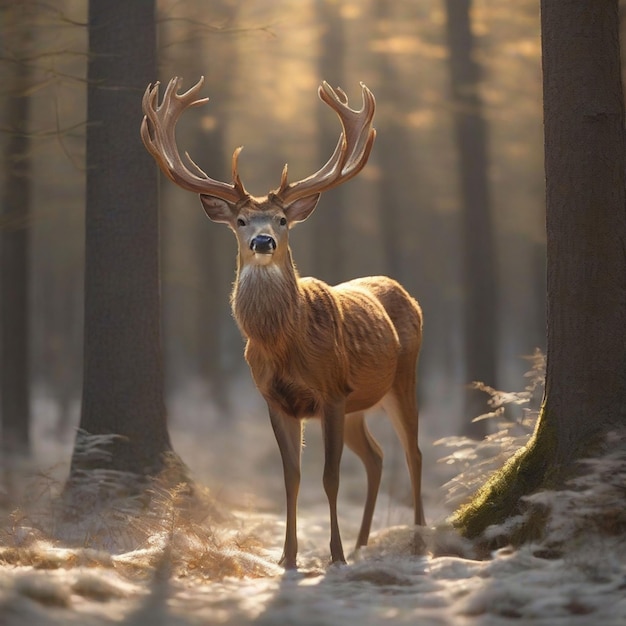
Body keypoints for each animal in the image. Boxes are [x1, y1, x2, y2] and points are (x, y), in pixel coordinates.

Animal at [141, 75, 424, 568]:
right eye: (240, 220)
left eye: (281, 219)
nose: (262, 241)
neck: (284, 343)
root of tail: (410, 296)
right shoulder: (275, 399)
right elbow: (290, 477)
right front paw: (287, 558)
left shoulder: (331, 392)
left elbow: (329, 477)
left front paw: (334, 557)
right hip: (361, 401)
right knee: (376, 455)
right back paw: (364, 542)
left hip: (401, 377)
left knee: (414, 452)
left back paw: (418, 540)